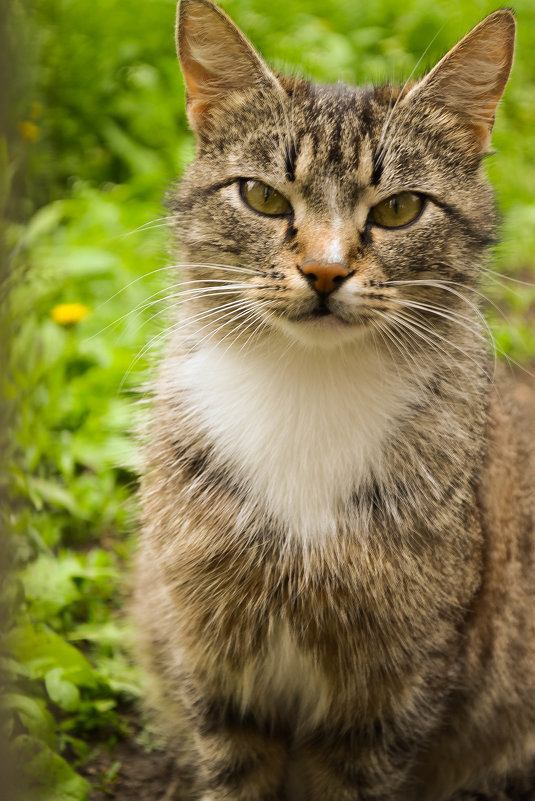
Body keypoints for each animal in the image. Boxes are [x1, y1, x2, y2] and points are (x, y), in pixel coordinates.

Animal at [133, 3, 535, 796]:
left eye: (400, 209)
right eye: (261, 196)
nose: (323, 272)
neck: (306, 392)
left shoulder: (392, 691)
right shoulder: (212, 661)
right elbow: (234, 772)